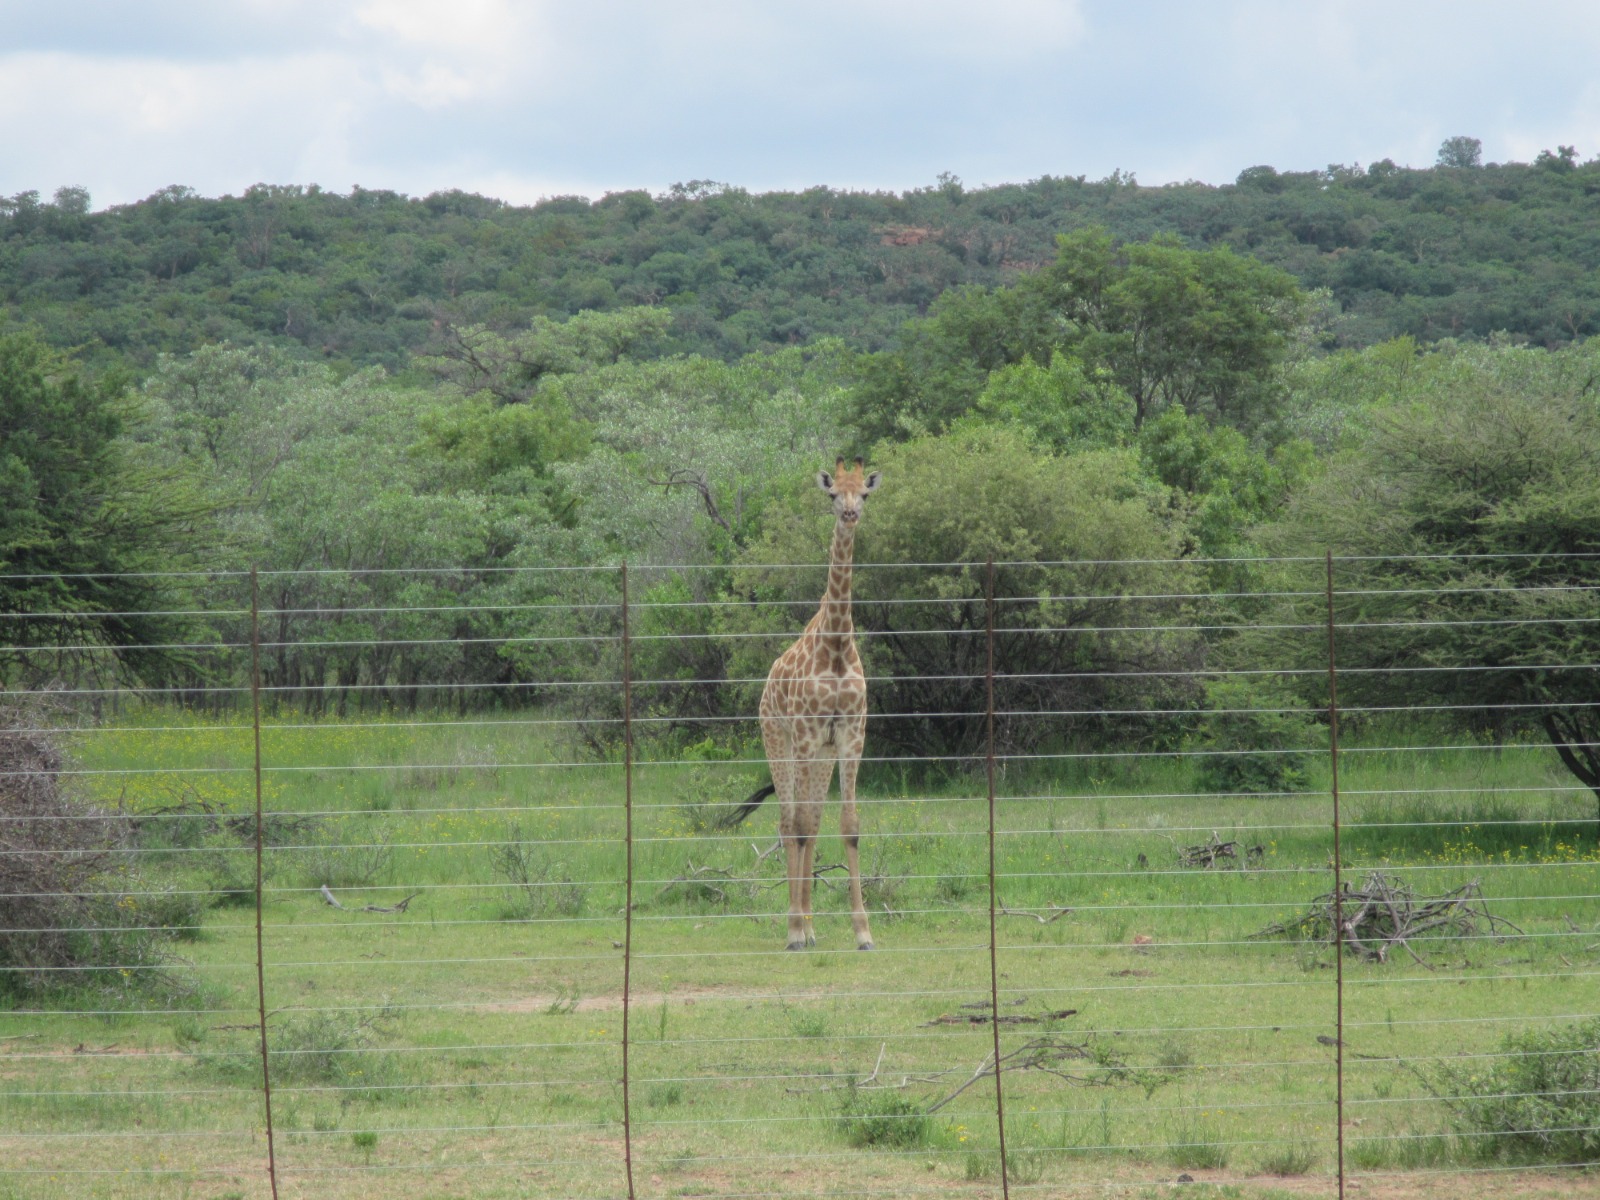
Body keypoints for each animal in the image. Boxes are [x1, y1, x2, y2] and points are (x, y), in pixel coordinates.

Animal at [722, 458, 880, 950]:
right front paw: (794, 930)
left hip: (821, 755)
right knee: (788, 822)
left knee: (808, 820)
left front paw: (863, 932)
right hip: (779, 739)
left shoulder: (850, 734)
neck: (836, 646)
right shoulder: (808, 734)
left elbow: (847, 825)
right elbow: (801, 826)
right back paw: (797, 927)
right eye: (832, 494)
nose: (849, 515)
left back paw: (810, 927)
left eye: (864, 494)